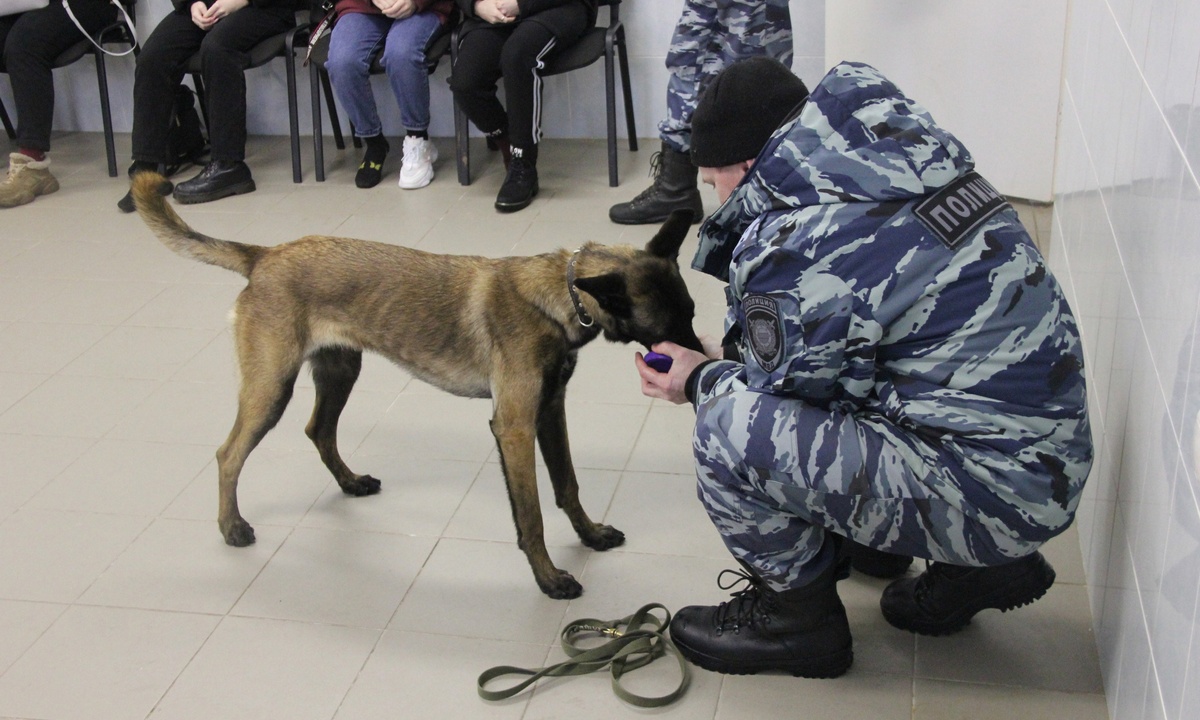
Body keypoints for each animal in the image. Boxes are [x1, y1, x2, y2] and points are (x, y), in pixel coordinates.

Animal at [131, 172, 700, 595]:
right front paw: (548, 577)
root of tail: (265, 255)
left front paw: (590, 534)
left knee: (319, 430)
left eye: (691, 314)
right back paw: (232, 527)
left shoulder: (550, 410)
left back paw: (349, 482)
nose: (706, 359)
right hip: (272, 388)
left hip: (341, 371)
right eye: (672, 325)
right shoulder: (515, 426)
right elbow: (532, 513)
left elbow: (568, 485)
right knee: (229, 453)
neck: (563, 294)